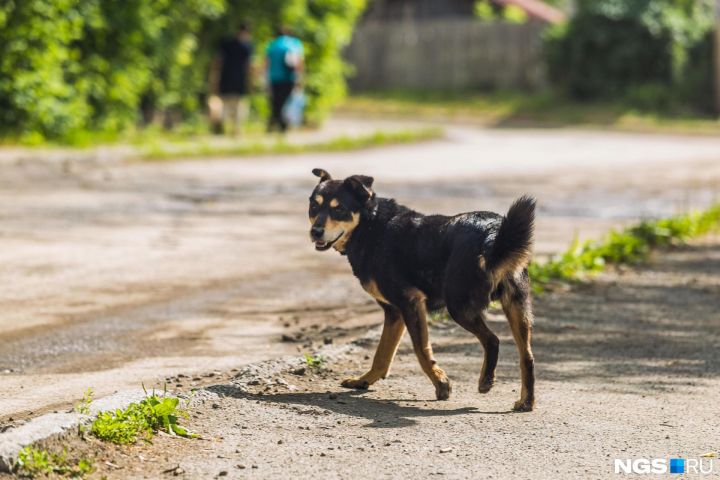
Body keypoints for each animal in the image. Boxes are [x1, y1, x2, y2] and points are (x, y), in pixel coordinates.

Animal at [306, 170, 536, 412]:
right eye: (314, 206)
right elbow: (382, 355)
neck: (370, 227)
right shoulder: (395, 312)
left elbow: (421, 349)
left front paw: (441, 383)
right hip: (516, 306)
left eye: (339, 208)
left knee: (492, 340)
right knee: (527, 356)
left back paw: (486, 381)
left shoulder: (411, 302)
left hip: (459, 307)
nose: (316, 231)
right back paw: (526, 401)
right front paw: (364, 380)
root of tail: (493, 233)